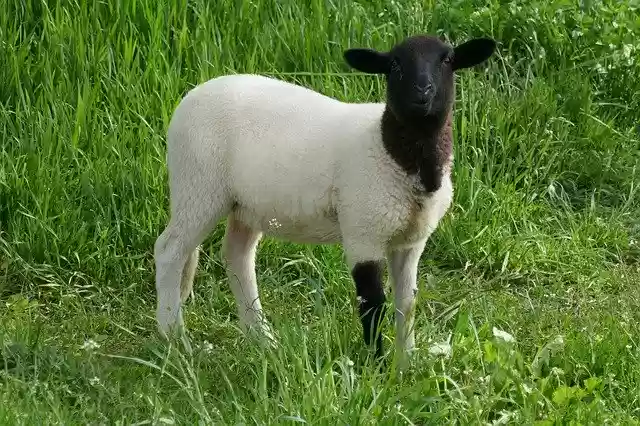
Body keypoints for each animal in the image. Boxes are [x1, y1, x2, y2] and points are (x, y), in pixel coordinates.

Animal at [154, 34, 496, 365]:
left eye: (447, 60)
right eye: (395, 64)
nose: (422, 92)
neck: (393, 152)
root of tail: (192, 95)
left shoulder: (412, 242)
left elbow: (407, 302)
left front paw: (406, 363)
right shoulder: (363, 232)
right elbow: (372, 303)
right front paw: (376, 366)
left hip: (247, 204)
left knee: (237, 255)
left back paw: (262, 338)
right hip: (198, 185)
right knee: (170, 250)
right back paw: (174, 338)